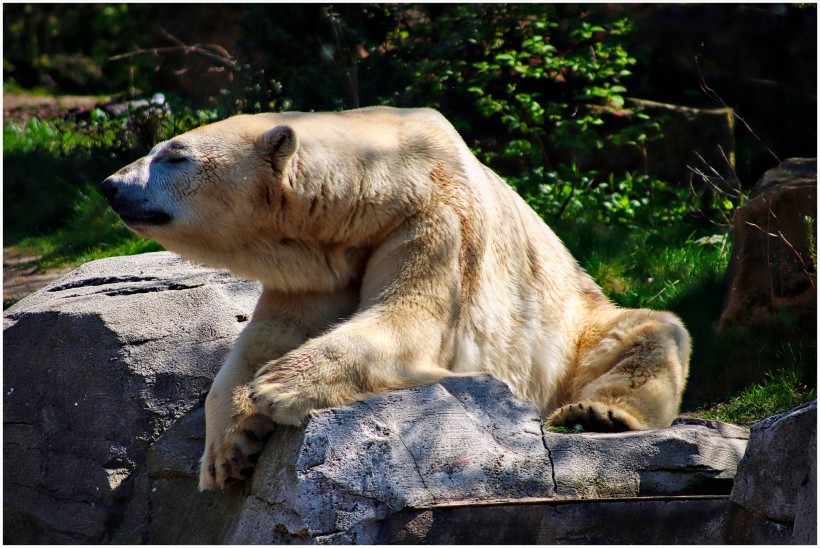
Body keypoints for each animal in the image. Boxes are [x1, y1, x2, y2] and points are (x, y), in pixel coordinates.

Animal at [102, 106, 692, 488]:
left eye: (174, 155)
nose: (110, 185)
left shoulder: (434, 222)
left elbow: (407, 320)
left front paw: (279, 387)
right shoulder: (317, 265)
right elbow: (269, 335)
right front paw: (229, 450)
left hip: (577, 323)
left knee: (651, 333)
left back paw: (599, 415)